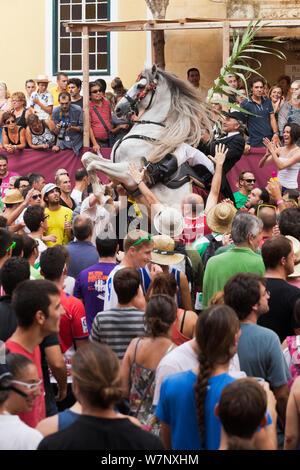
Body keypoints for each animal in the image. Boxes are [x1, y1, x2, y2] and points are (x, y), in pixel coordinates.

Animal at [82, 64, 212, 209]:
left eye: (140, 86)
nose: (118, 109)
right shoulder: (114, 162)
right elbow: (87, 157)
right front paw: (104, 188)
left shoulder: (128, 173)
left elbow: (92, 164)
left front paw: (102, 195)